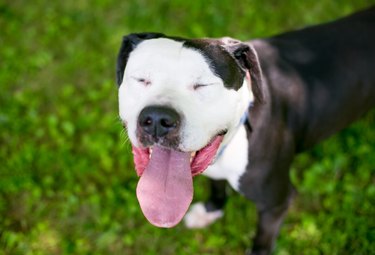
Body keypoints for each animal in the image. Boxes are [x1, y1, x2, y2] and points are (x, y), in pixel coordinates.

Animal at [116, 6, 374, 255]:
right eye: (141, 79)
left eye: (202, 85)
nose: (157, 119)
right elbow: (217, 186)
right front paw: (212, 209)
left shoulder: (275, 203)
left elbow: (262, 240)